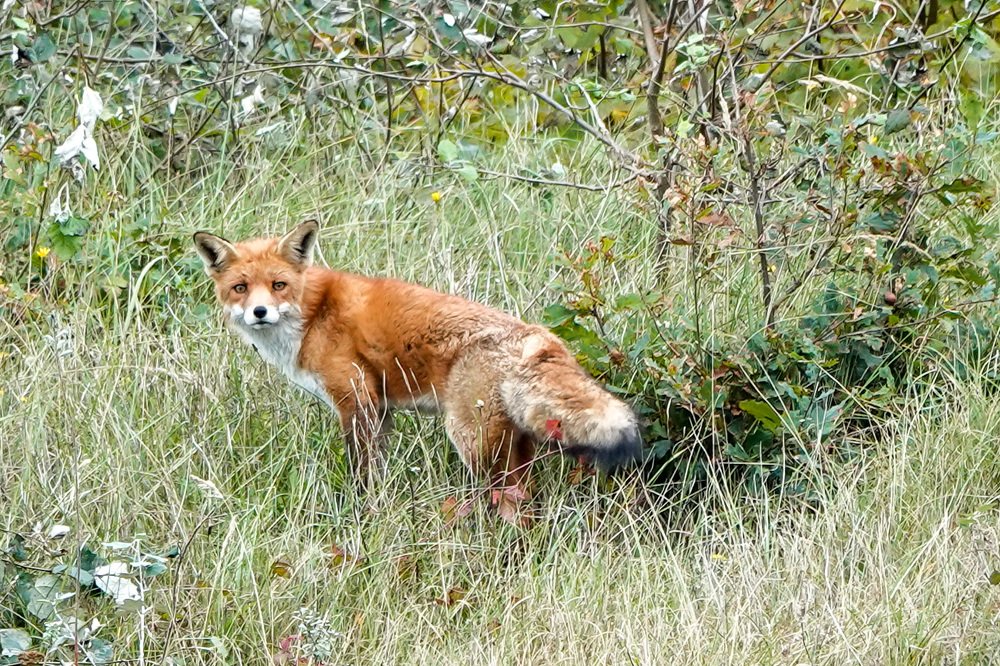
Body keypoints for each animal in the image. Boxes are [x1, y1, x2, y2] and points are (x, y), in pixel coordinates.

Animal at [193, 220, 642, 520]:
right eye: (240, 288)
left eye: (278, 285)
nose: (260, 312)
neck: (314, 314)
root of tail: (538, 336)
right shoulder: (380, 409)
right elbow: (377, 472)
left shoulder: (356, 401)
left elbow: (361, 475)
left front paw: (361, 514)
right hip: (512, 444)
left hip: (470, 439)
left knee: (506, 499)